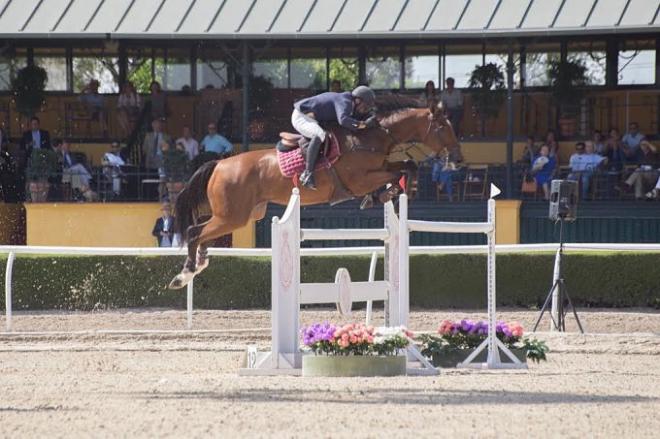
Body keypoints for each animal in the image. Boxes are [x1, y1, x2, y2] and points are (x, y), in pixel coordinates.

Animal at [168, 96, 462, 290]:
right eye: (443, 128)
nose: (458, 159)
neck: (369, 137)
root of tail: (219, 164)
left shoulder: (380, 167)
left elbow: (407, 166)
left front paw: (390, 194)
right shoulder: (360, 180)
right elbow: (398, 172)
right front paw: (385, 195)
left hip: (240, 214)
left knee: (201, 231)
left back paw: (197, 265)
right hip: (233, 216)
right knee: (194, 232)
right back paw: (185, 274)